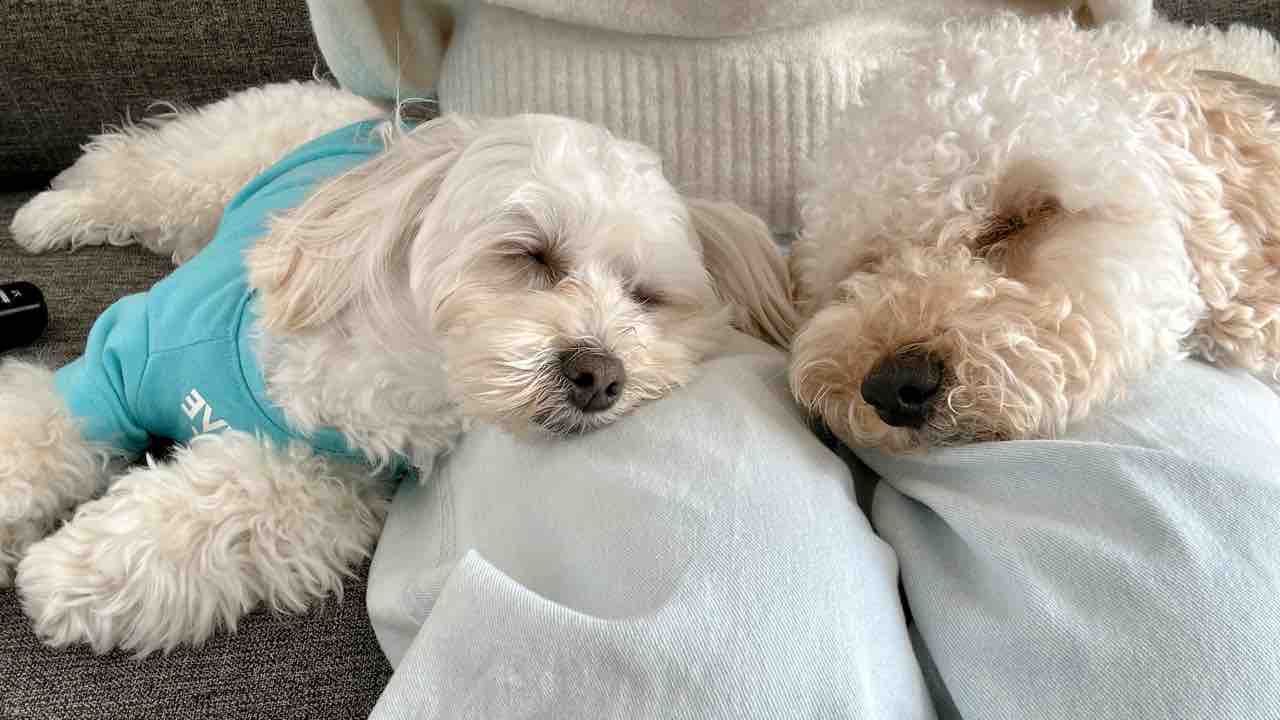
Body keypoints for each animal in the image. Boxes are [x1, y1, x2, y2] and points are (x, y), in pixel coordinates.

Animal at [1, 81, 797, 654]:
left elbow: (228, 507)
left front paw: (72, 573)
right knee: (128, 168)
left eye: (646, 296)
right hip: (205, 168)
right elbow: (33, 433)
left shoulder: (330, 476)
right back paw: (47, 214)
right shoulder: (113, 364)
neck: (399, 374)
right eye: (531, 254)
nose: (601, 376)